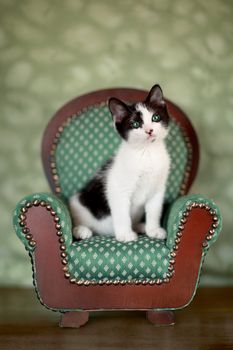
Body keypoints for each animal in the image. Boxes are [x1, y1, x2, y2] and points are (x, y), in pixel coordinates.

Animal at [68, 84, 169, 242]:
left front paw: (153, 230)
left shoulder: (158, 189)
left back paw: (140, 226)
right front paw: (126, 235)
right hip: (78, 203)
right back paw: (81, 230)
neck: (146, 153)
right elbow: (122, 214)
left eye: (155, 118)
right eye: (135, 124)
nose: (149, 131)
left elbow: (154, 210)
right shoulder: (117, 188)